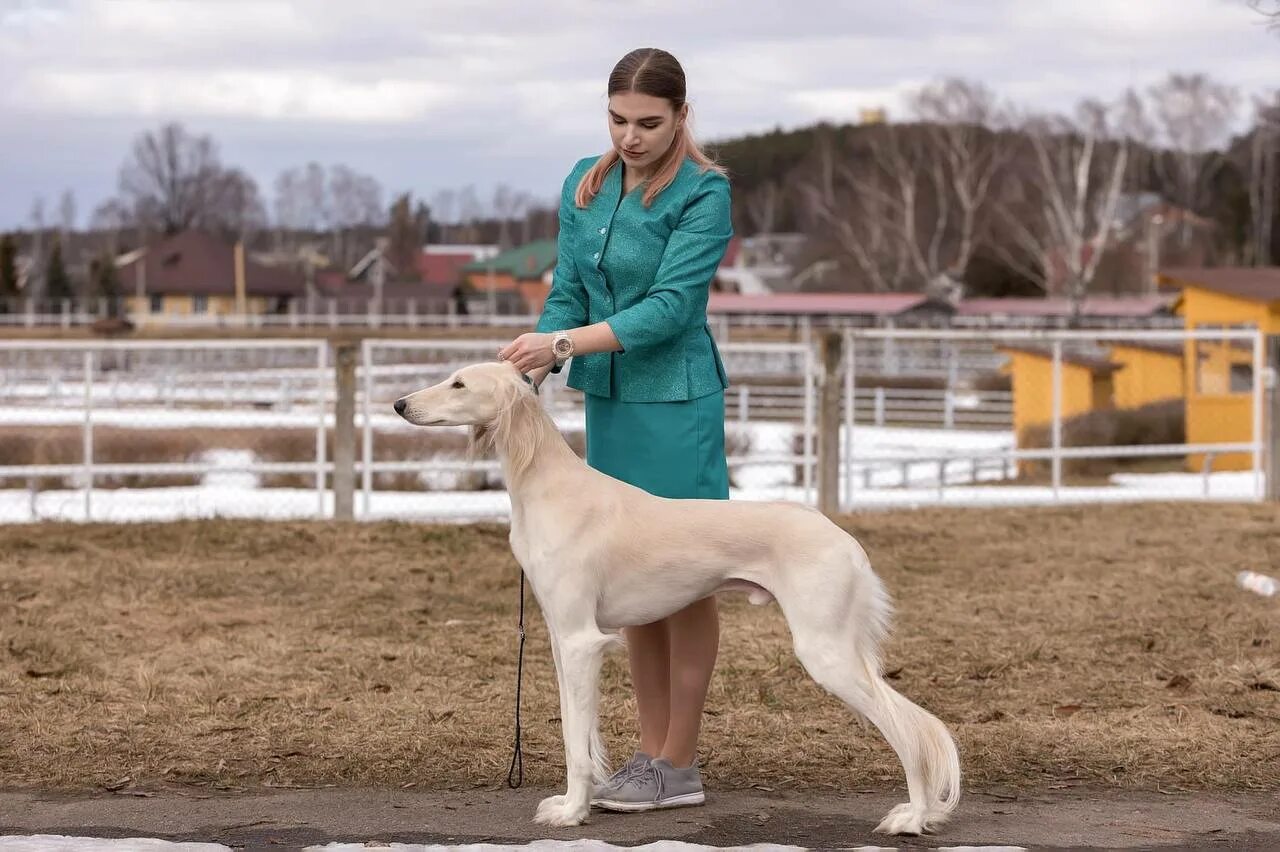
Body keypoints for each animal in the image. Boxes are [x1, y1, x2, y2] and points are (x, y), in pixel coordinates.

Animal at [394, 360, 957, 834]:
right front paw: (575, 802)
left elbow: (576, 743)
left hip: (826, 651)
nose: (400, 405)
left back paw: (914, 817)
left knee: (909, 731)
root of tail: (846, 541)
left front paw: (573, 812)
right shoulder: (562, 641)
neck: (549, 486)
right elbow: (577, 731)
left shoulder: (580, 641)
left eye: (459, 383)